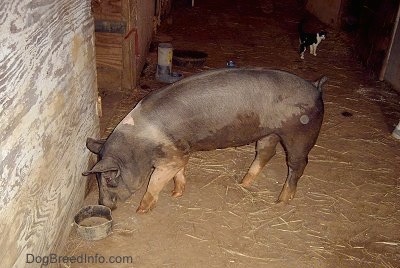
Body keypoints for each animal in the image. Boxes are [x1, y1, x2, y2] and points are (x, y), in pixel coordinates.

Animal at [83, 68, 326, 213]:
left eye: (110, 179)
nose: (103, 205)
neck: (140, 146)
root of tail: (315, 86)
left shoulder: (171, 157)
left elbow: (154, 182)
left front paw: (141, 210)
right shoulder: (180, 152)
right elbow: (180, 172)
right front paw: (176, 194)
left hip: (300, 134)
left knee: (298, 164)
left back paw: (280, 202)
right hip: (269, 133)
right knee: (266, 153)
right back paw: (243, 183)